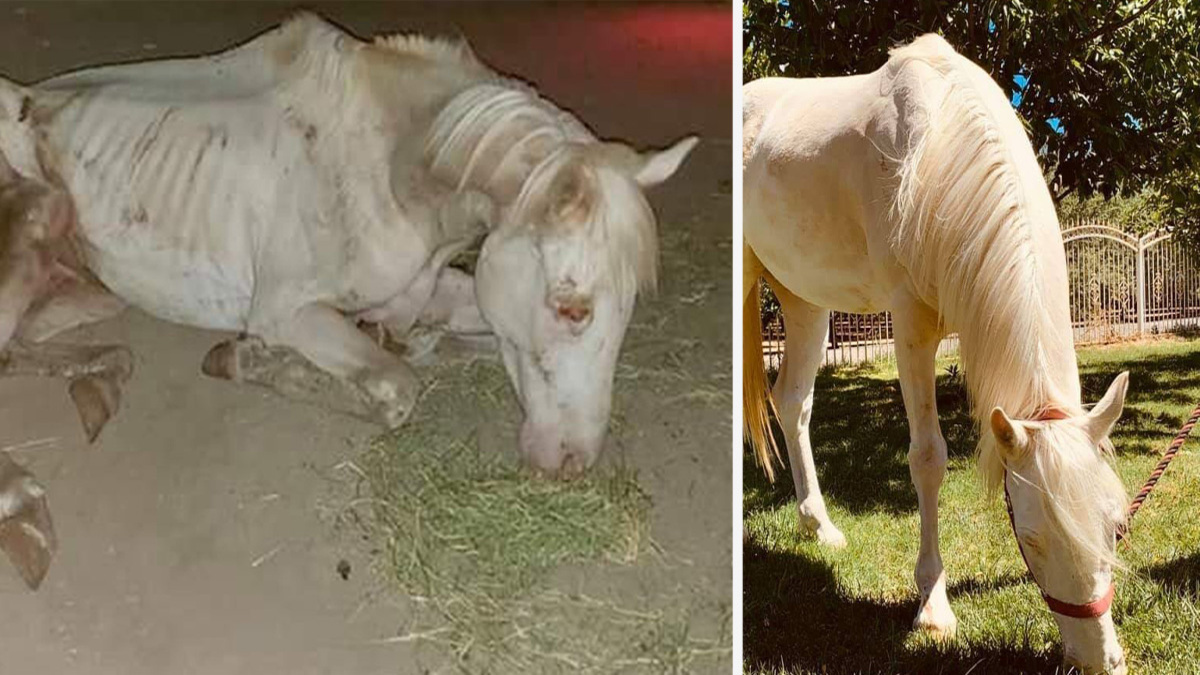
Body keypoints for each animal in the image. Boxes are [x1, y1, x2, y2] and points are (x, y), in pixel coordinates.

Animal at [0, 13, 696, 586]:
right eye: (571, 307)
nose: (572, 464)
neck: (392, 170)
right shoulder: (287, 312)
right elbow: (396, 390)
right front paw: (247, 360)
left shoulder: (426, 292)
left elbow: (437, 338)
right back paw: (24, 501)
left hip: (91, 292)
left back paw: (99, 387)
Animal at [744, 32, 1128, 672]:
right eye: (1032, 539)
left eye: (1117, 527)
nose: (1100, 659)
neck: (941, 149)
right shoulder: (911, 325)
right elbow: (927, 458)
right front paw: (933, 607)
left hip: (803, 298)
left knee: (792, 400)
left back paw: (818, 525)